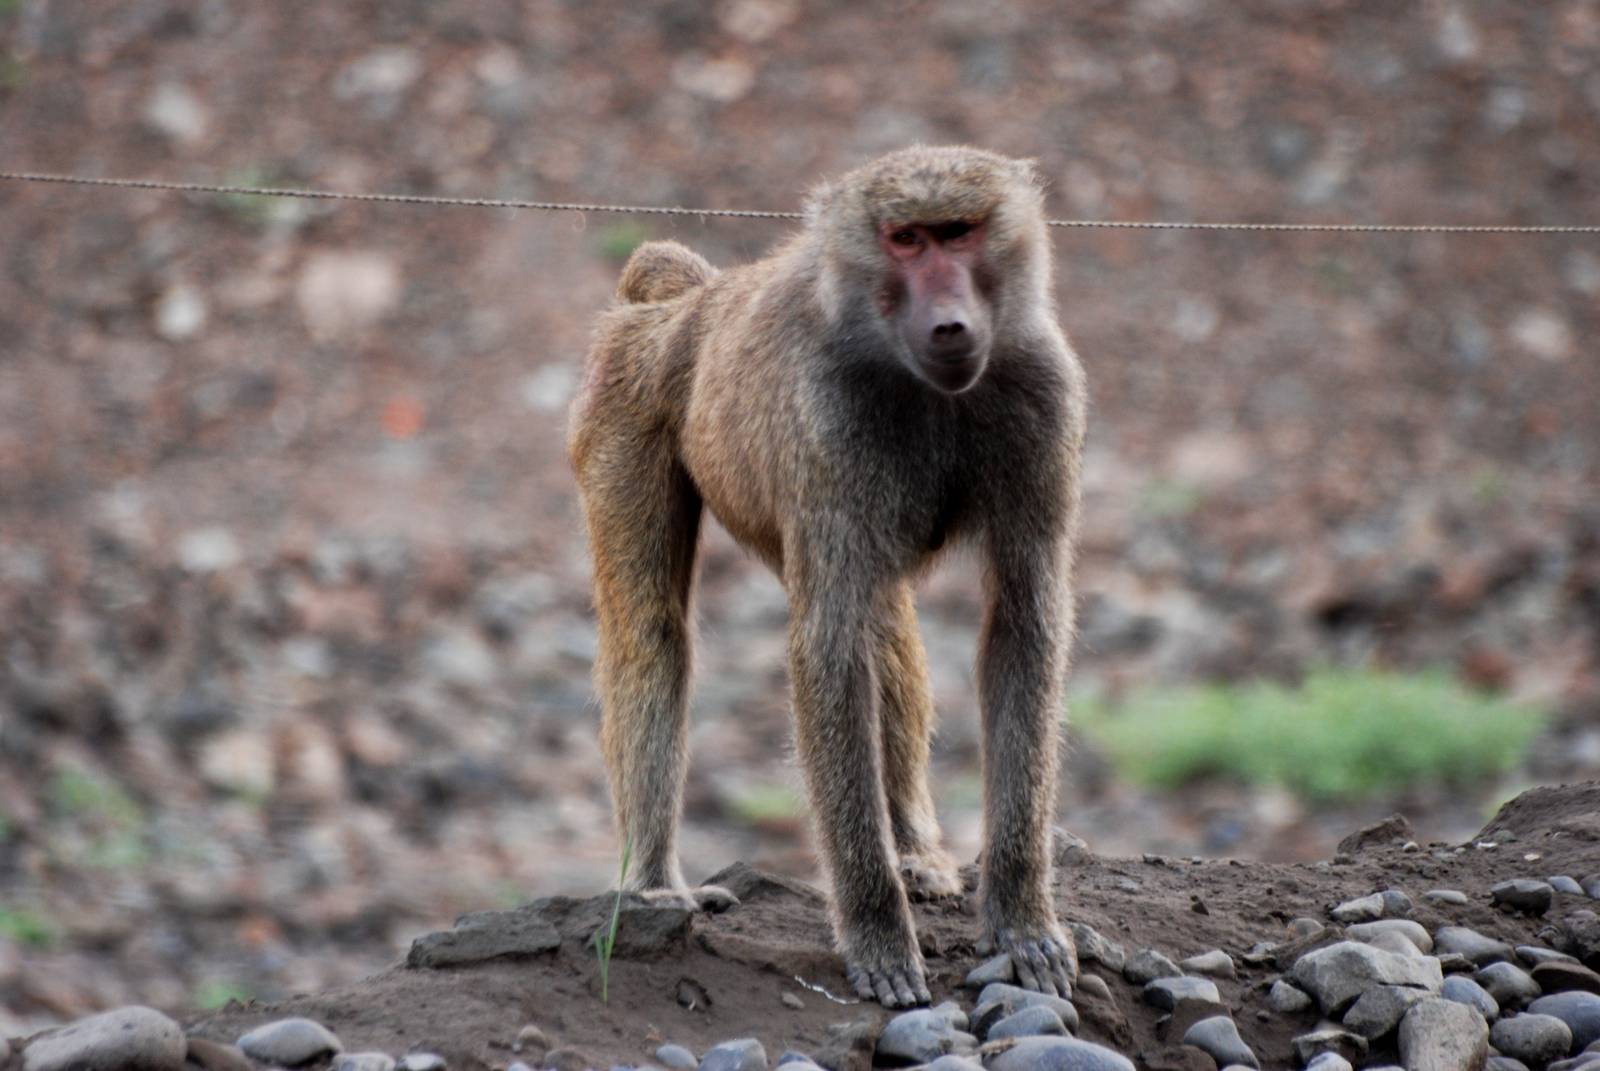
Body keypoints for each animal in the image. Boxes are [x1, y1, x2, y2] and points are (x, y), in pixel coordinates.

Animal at [567, 146, 1085, 1008]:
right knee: (652, 631)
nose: (950, 323)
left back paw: (914, 849)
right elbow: (829, 647)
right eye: (905, 239)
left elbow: (1023, 620)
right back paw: (656, 883)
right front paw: (878, 934)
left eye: (960, 231)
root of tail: (692, 302)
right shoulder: (828, 423)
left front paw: (1021, 921)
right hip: (623, 405)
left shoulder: (1045, 399)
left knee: (887, 617)